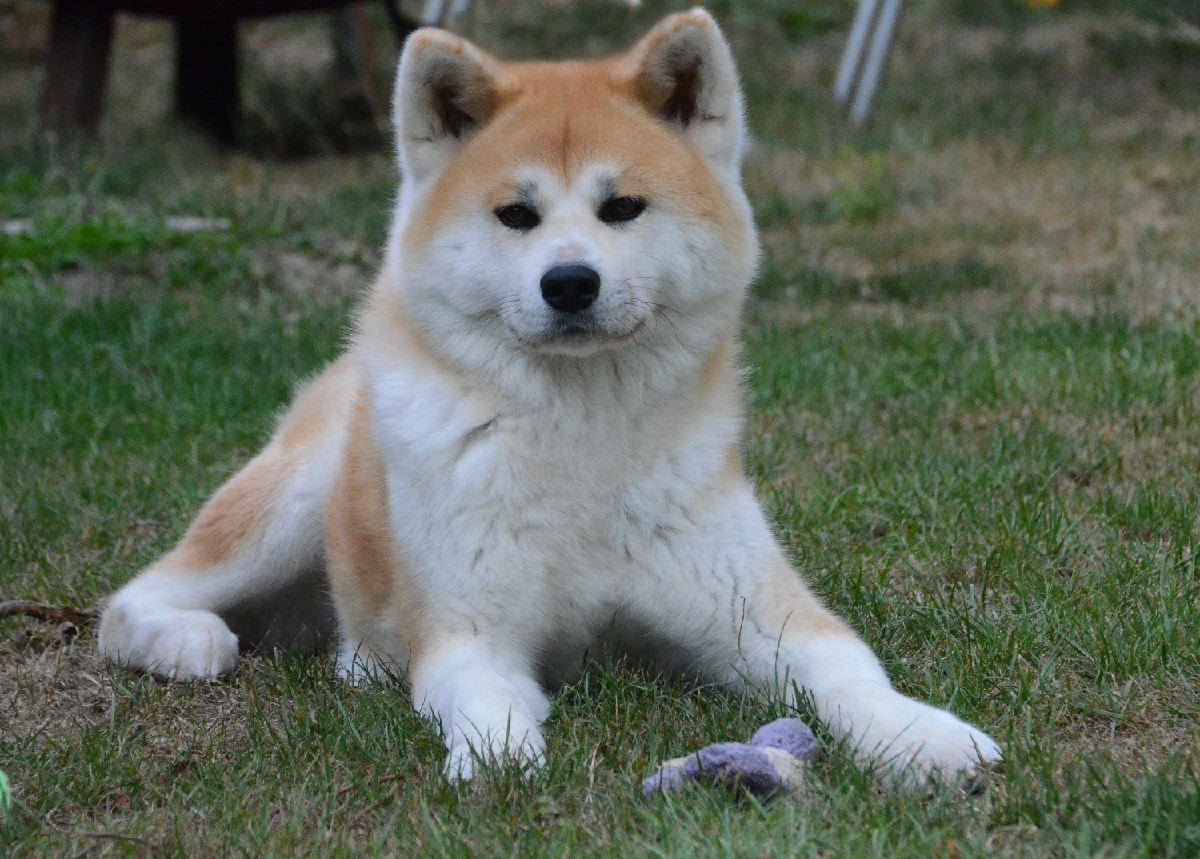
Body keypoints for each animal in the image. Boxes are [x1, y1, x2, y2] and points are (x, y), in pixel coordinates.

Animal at [99, 9, 1001, 782]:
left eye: (622, 206)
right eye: (515, 214)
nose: (570, 282)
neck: (583, 442)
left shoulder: (763, 614)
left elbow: (852, 675)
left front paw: (922, 736)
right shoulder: (470, 632)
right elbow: (484, 699)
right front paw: (500, 757)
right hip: (291, 499)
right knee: (130, 602)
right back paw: (188, 640)